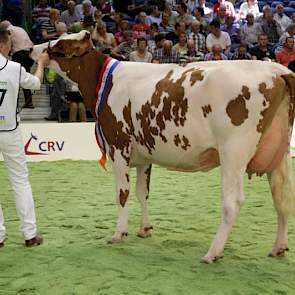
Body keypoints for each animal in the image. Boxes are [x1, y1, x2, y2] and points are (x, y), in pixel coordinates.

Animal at [31, 31, 295, 264]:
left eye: (60, 44)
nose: (32, 50)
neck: (105, 81)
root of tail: (277, 70)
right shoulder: (144, 155)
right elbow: (142, 192)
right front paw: (145, 229)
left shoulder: (118, 146)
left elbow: (122, 194)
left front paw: (118, 234)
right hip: (279, 152)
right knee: (282, 198)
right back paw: (278, 248)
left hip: (234, 151)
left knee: (232, 202)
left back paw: (213, 253)